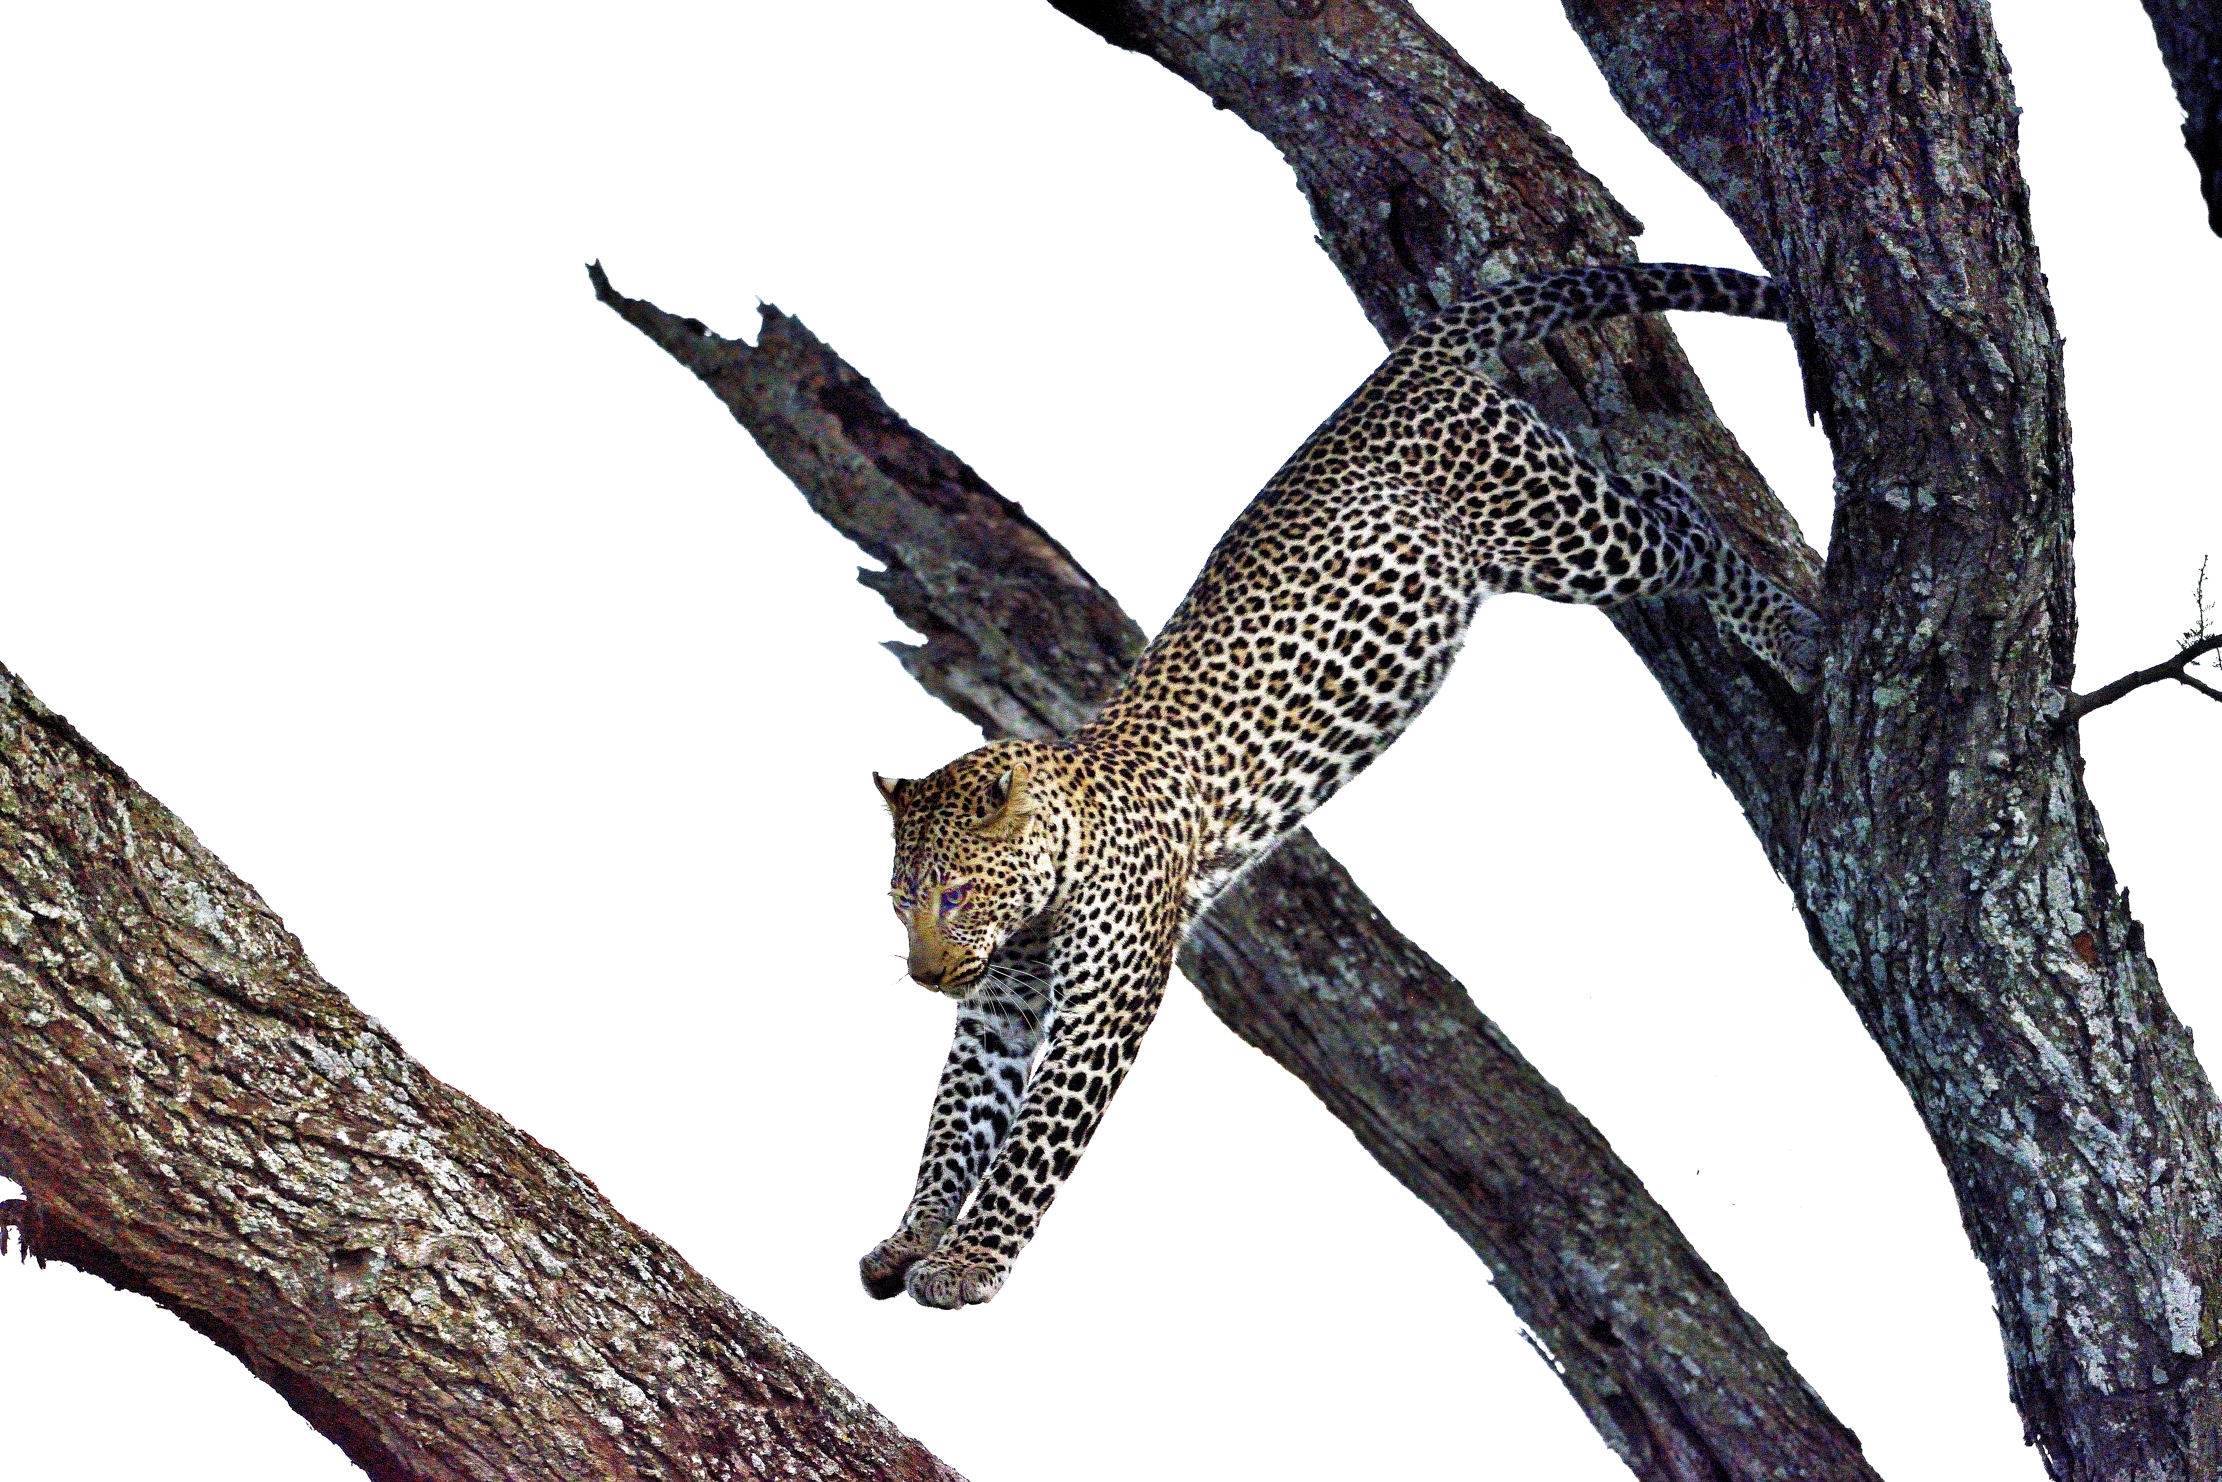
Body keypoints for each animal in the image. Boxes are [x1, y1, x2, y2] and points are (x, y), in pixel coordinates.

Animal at [861, 263, 1819, 1309]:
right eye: (901, 901)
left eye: (955, 893)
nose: (922, 975)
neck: (1043, 895)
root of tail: (1402, 364)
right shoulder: (996, 1015)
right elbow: (953, 1127)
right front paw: (909, 1239)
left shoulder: (1102, 1013)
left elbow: (1029, 1148)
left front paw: (968, 1264)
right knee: (1659, 488)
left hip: (1563, 530)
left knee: (1679, 513)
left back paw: (1794, 637)